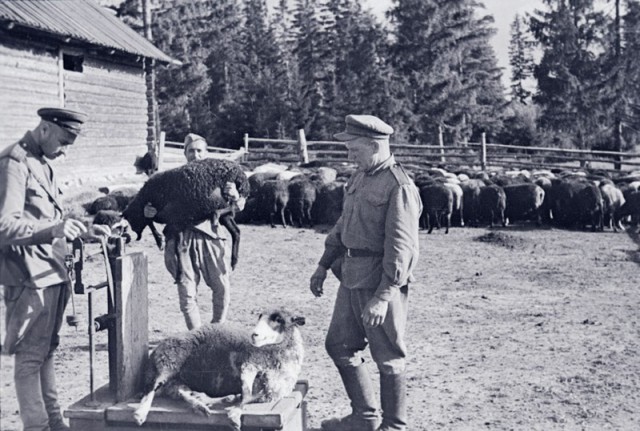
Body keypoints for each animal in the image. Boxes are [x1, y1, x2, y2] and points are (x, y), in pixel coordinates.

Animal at [121, 157, 249, 268]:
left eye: (131, 219)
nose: (134, 234)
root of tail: (241, 173)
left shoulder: (177, 218)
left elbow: (177, 246)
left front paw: (160, 240)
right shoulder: (174, 219)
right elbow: (151, 221)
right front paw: (159, 240)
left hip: (225, 195)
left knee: (233, 206)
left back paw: (215, 215)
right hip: (225, 213)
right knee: (236, 231)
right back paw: (234, 261)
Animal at [132, 308, 304, 430]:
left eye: (279, 319)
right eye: (260, 317)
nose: (254, 335)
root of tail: (154, 352)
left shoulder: (270, 392)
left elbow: (250, 396)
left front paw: (234, 407)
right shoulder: (248, 365)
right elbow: (247, 394)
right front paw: (235, 416)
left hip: (175, 377)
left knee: (180, 391)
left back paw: (203, 404)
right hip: (170, 361)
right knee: (152, 387)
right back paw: (140, 414)